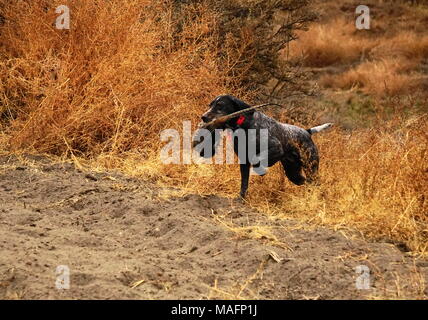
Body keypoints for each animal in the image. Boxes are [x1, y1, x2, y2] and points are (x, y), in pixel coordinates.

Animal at [193, 94, 332, 198]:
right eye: (210, 105)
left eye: (220, 105)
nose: (203, 117)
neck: (244, 124)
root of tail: (306, 132)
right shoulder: (244, 161)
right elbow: (244, 183)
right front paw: (241, 199)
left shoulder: (276, 148)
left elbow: (258, 159)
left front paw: (261, 170)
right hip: (293, 173)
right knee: (305, 182)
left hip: (311, 168)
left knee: (314, 182)